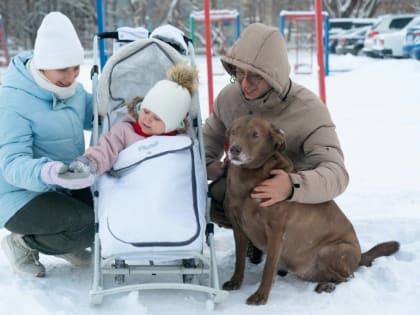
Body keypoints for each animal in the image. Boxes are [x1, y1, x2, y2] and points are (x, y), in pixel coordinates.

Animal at [221, 116, 398, 306]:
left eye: (255, 135)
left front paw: (260, 296)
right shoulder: (239, 227)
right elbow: (239, 260)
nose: (234, 149)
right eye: (234, 131)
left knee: (349, 277)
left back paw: (327, 285)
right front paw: (235, 282)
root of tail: (359, 256)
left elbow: (268, 268)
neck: (249, 177)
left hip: (330, 251)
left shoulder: (276, 231)